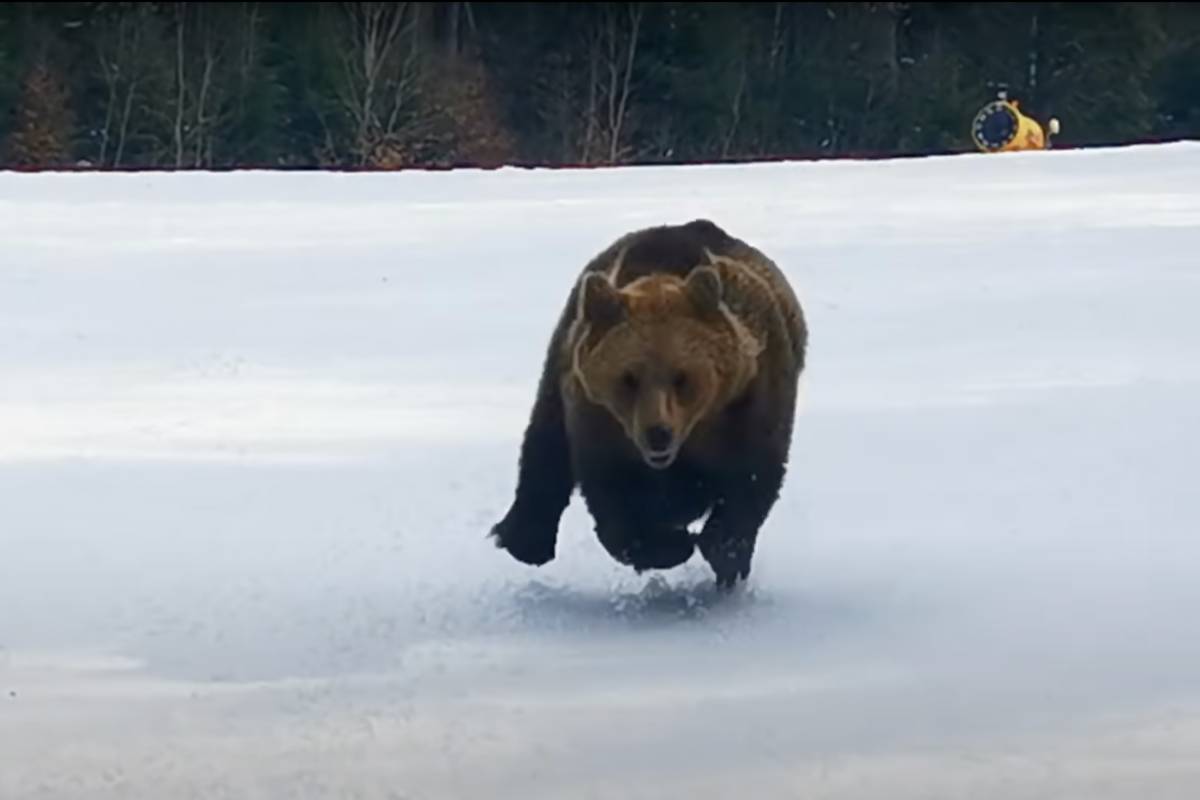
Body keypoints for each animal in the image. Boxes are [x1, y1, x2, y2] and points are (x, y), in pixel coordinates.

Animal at [489, 218, 807, 588]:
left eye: (682, 377)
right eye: (628, 378)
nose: (658, 433)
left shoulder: (751, 403)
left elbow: (752, 480)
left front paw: (724, 554)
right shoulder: (602, 423)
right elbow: (616, 503)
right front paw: (671, 546)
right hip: (564, 352)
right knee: (545, 442)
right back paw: (526, 539)